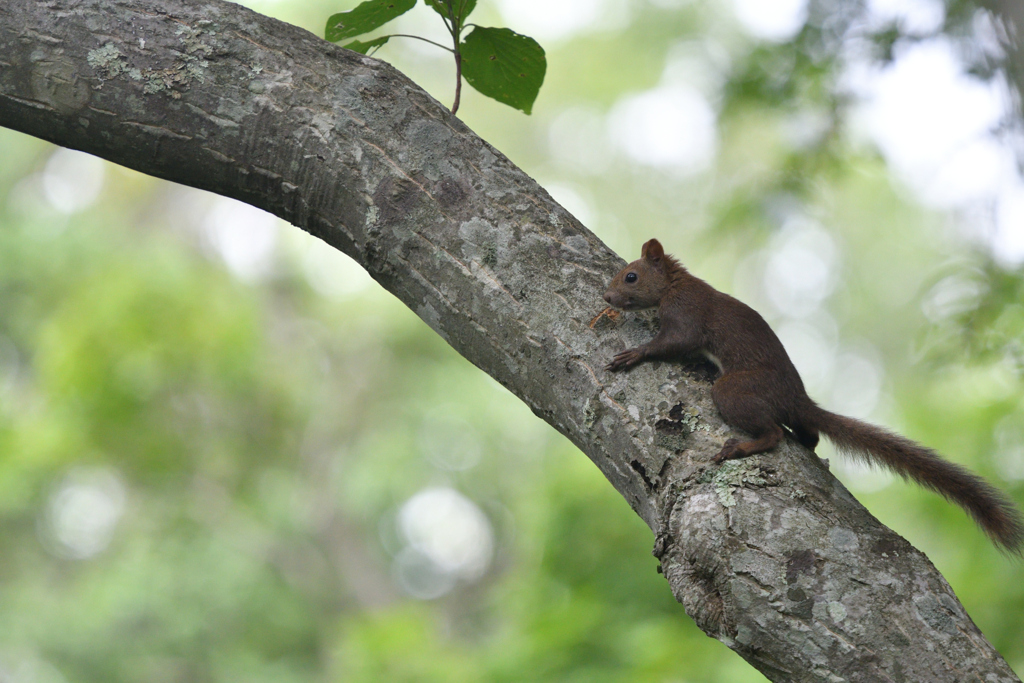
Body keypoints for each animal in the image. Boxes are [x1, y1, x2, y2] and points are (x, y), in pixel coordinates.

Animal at [602, 237, 1019, 552]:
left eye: (631, 276)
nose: (607, 298)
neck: (674, 285)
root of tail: (796, 399)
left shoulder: (687, 313)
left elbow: (675, 342)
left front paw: (635, 354)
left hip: (735, 390)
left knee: (771, 433)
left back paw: (741, 446)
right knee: (809, 434)